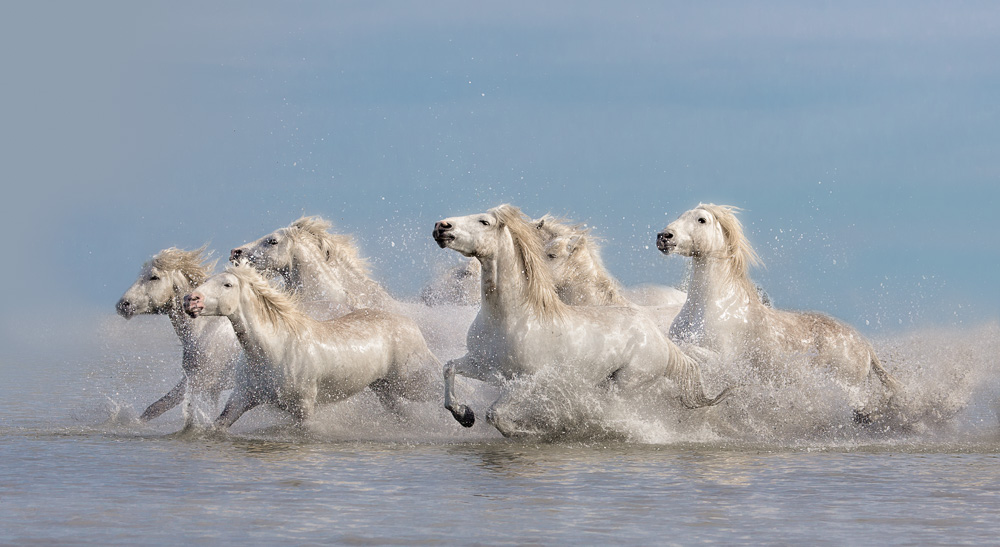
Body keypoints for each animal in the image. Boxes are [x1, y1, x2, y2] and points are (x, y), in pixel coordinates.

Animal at [116, 247, 240, 428]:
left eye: (154, 277)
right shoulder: (212, 388)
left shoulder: (198, 381)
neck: (204, 330)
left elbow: (158, 406)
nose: (123, 305)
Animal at [182, 262, 439, 429]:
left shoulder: (304, 408)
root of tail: (409, 323)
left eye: (227, 285)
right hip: (384, 388)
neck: (273, 350)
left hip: (412, 383)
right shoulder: (241, 398)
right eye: (205, 281)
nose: (190, 300)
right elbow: (218, 427)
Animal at [432, 204, 731, 435]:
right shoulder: (484, 365)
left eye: (484, 221)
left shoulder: (529, 379)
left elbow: (495, 414)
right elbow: (449, 368)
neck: (509, 317)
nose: (441, 226)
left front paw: (531, 432)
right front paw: (464, 415)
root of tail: (659, 339)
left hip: (626, 383)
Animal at [656, 203, 901, 421]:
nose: (663, 236)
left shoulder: (723, 361)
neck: (712, 306)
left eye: (701, 220)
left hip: (848, 390)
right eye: (680, 216)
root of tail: (865, 345)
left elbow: (688, 351)